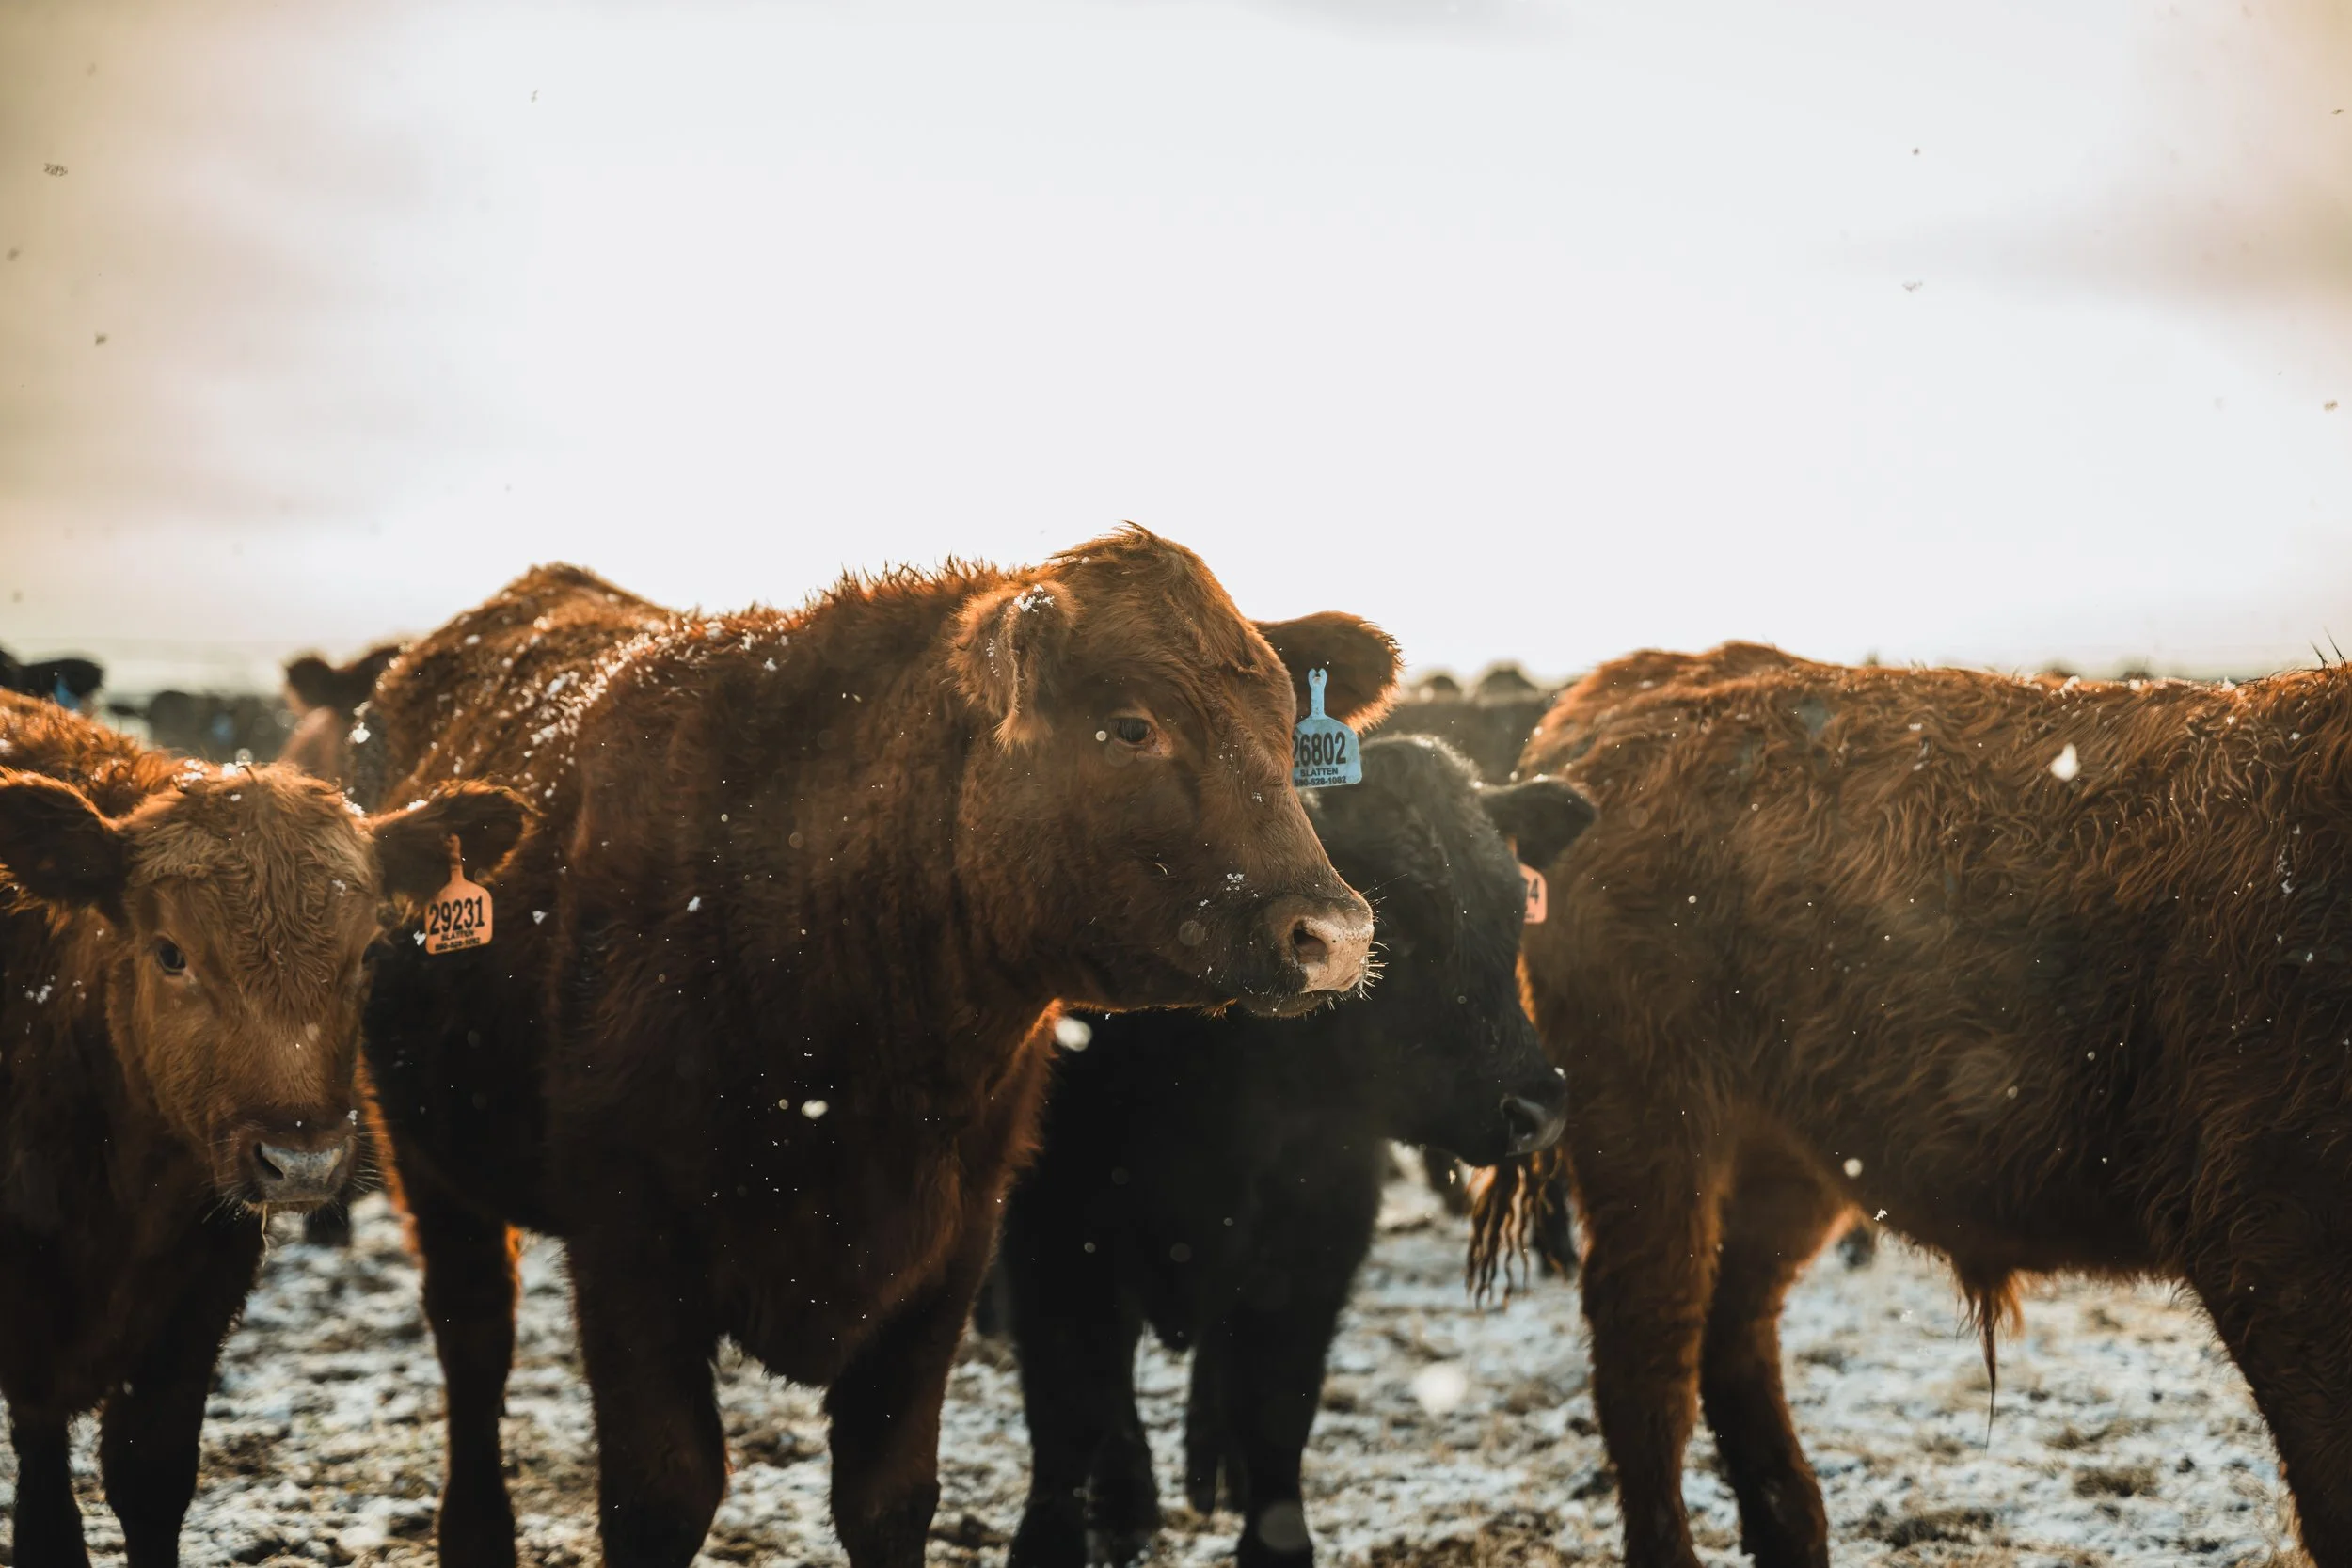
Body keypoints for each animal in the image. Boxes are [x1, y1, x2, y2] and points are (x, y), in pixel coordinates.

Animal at [0, 690, 524, 1568]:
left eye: (369, 951)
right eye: (170, 952)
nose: (304, 1160)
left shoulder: (200, 1293)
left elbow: (151, 1478)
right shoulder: (30, 1326)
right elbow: (45, 1513)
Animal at [348, 529, 1404, 1568]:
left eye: (1284, 726)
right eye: (1132, 726)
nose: (1335, 932)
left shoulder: (954, 1250)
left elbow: (888, 1497)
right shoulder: (626, 1244)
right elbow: (659, 1494)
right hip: (423, 1157)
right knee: (473, 1335)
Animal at [995, 735, 1591, 1568]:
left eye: (1511, 907)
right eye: (1393, 923)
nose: (1538, 1106)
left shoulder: (1316, 1235)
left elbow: (1276, 1401)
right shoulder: (1050, 1232)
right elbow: (1070, 1408)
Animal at [1499, 642, 2352, 1567]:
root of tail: (1646, 675)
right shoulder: (2272, 1239)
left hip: (1784, 1157)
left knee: (1734, 1327)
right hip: (1647, 1124)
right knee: (1648, 1350)